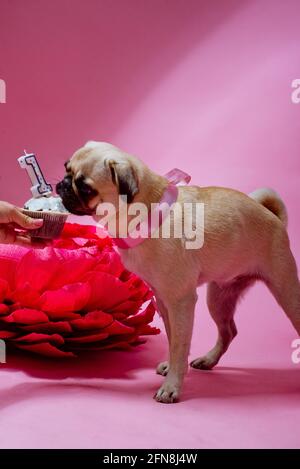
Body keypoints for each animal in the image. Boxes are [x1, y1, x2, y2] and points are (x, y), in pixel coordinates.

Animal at [56, 142, 300, 402]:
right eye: (66, 168)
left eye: (85, 187)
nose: (62, 183)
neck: (145, 210)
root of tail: (274, 218)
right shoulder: (164, 301)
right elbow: (174, 339)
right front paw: (172, 366)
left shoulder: (180, 301)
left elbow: (180, 343)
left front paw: (172, 385)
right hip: (218, 298)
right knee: (228, 331)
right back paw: (208, 360)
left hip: (286, 291)